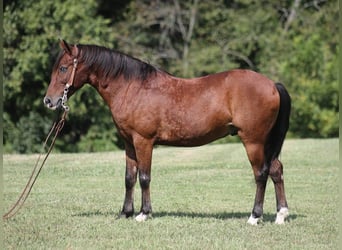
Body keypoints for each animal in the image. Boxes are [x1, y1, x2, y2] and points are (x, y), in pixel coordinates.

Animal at [43, 40, 292, 225]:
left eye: (63, 68)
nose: (49, 101)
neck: (133, 88)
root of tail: (272, 84)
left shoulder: (143, 141)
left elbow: (144, 177)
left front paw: (143, 213)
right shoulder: (128, 143)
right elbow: (129, 178)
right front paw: (125, 212)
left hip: (253, 141)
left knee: (261, 174)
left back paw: (255, 216)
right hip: (266, 143)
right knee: (276, 170)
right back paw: (281, 214)